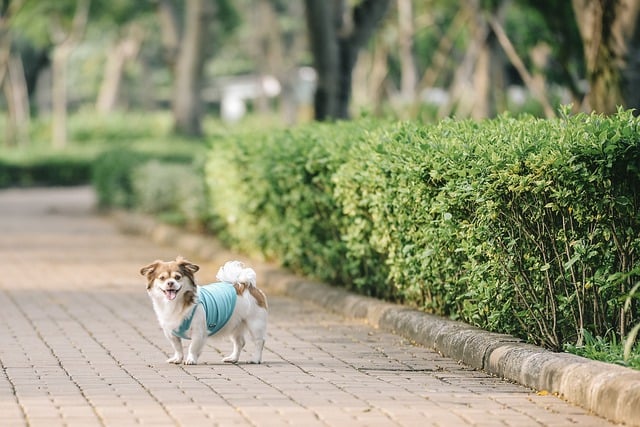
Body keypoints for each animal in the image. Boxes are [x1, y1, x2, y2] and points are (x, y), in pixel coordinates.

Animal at [140, 258, 268, 364]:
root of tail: (244, 285)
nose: (170, 283)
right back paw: (233, 358)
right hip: (234, 324)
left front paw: (191, 359)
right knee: (239, 342)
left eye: (177, 277)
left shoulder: (199, 331)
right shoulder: (171, 332)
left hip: (255, 324)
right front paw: (178, 358)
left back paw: (255, 359)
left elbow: (192, 347)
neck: (175, 303)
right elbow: (177, 347)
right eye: (162, 278)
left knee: (259, 342)